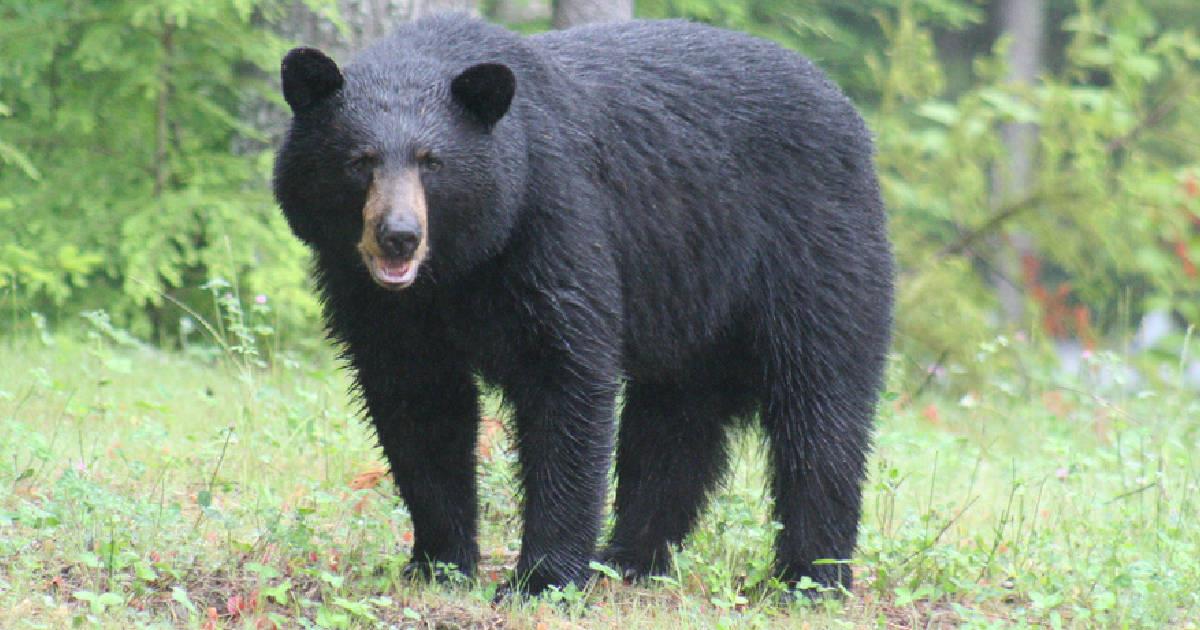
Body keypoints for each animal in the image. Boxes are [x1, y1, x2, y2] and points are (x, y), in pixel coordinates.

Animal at [272, 13, 892, 595]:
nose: (399, 236)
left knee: (820, 407)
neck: (455, 269)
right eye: (360, 161)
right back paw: (631, 558)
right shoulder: (377, 299)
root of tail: (846, 106)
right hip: (691, 302)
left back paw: (810, 578)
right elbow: (418, 404)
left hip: (814, 249)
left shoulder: (551, 216)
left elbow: (564, 378)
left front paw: (541, 578)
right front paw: (439, 562)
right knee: (673, 425)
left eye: (432, 162)